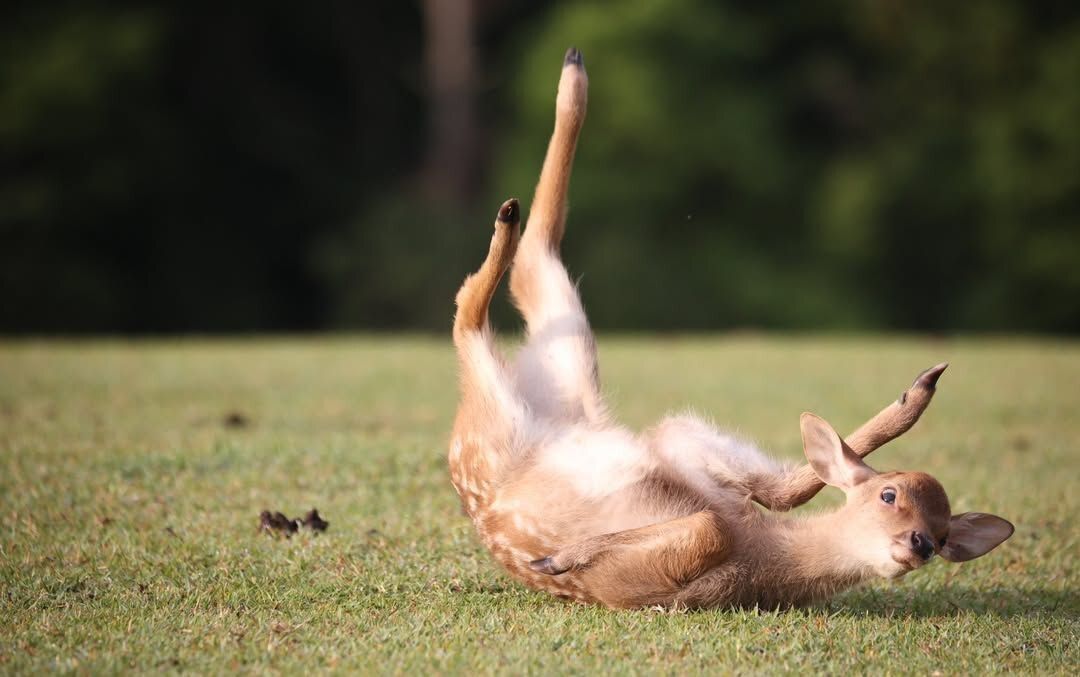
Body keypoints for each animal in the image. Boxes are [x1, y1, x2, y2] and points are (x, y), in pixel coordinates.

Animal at [448, 47, 1014, 610]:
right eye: (888, 494)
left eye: (944, 534)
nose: (920, 543)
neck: (759, 561)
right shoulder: (682, 475)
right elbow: (769, 496)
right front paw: (560, 556)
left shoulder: (641, 586)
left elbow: (739, 511)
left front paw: (557, 558)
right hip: (516, 407)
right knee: (489, 292)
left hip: (540, 385)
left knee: (505, 284)